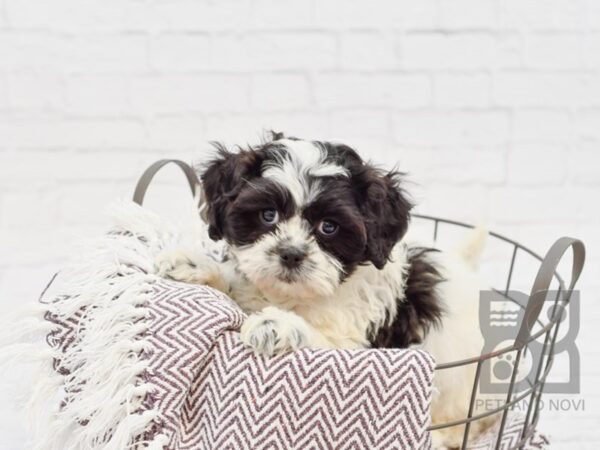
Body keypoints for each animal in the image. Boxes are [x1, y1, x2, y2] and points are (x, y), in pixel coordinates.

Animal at [157, 133, 494, 446]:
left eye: (328, 227)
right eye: (268, 215)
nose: (291, 254)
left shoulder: (361, 344)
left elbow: (325, 340)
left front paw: (277, 323)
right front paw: (195, 265)